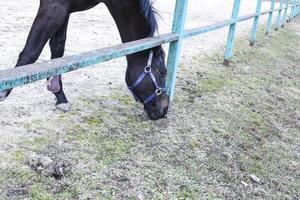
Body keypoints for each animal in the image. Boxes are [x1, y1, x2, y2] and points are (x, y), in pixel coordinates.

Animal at [0, 0, 169, 120]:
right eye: (162, 71)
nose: (164, 109)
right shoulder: (53, 6)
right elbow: (30, 52)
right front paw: (3, 92)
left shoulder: (64, 9)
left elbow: (58, 48)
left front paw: (59, 95)